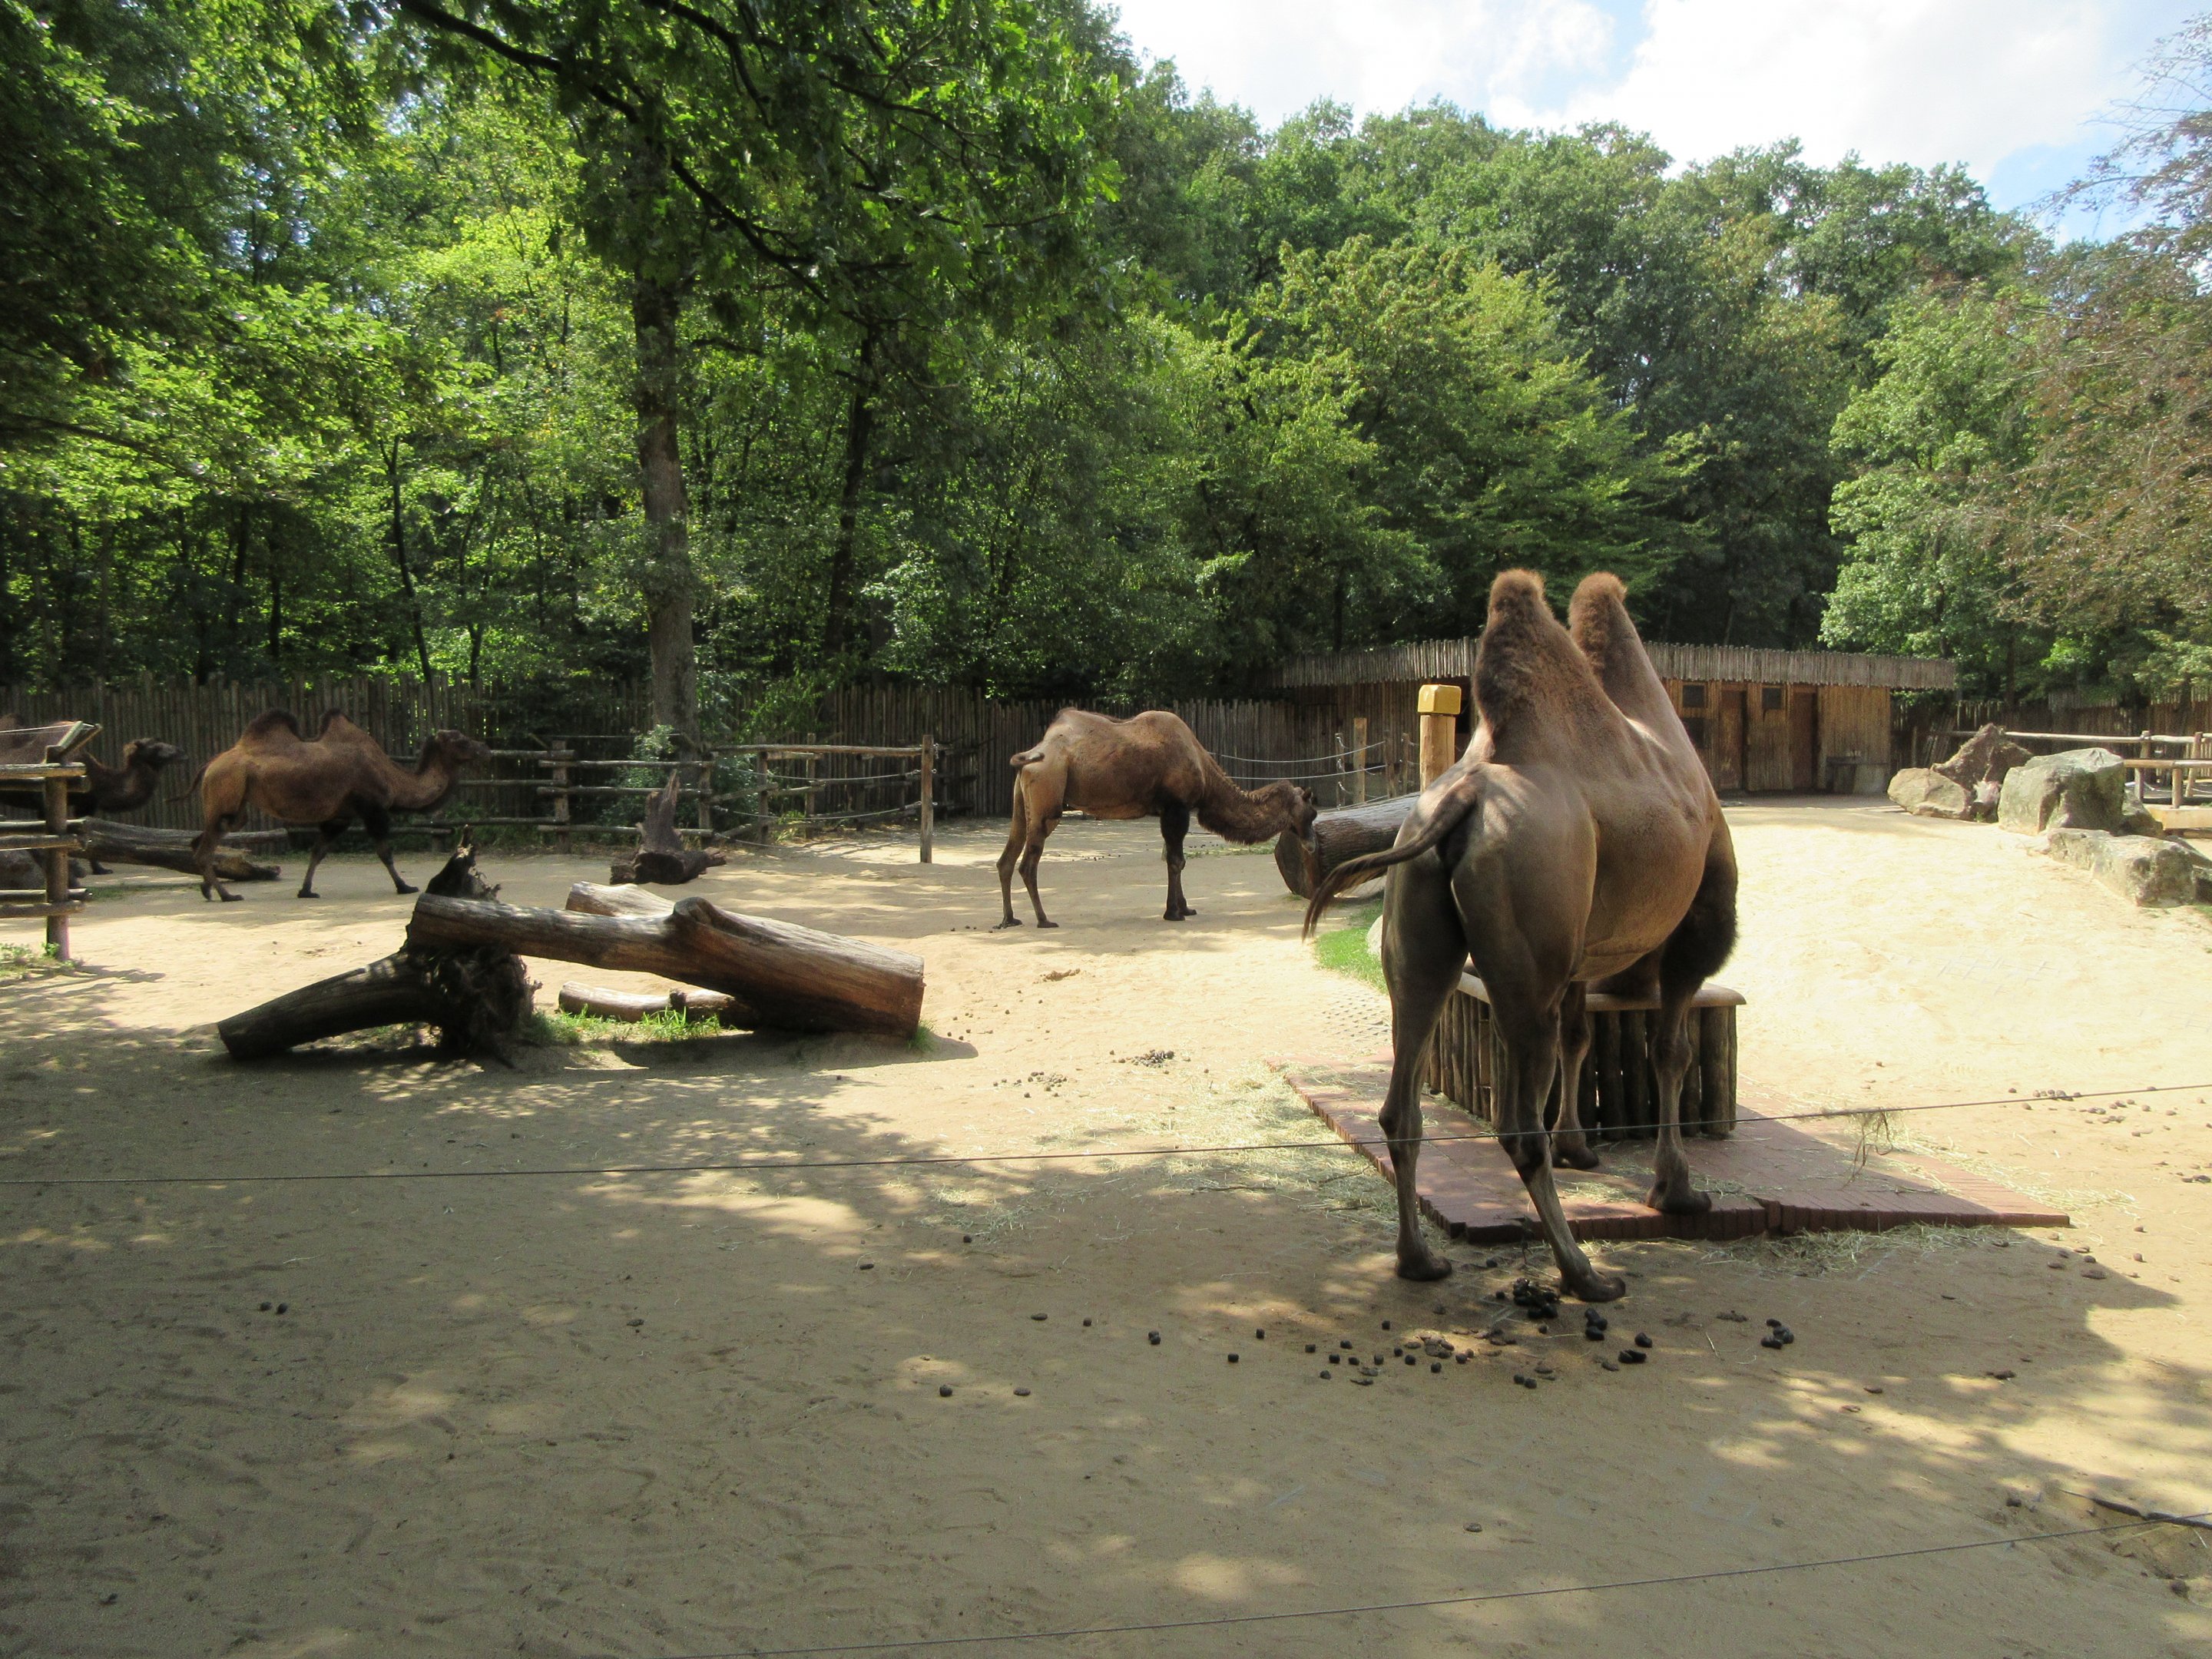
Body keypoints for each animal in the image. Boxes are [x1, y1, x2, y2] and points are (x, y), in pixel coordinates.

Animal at [191, 710, 489, 901]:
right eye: (461, 740)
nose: (485, 748)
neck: (392, 777)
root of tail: (208, 766)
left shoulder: (340, 817)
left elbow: (318, 851)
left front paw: (306, 890)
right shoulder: (372, 809)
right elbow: (385, 852)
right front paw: (405, 886)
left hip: (234, 806)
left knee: (204, 841)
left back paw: (209, 890)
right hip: (226, 791)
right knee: (205, 848)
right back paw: (227, 895)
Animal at [997, 710, 1318, 928]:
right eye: (1312, 813)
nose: (1313, 844)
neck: (1204, 770)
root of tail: (1034, 754)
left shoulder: (1170, 810)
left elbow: (1174, 859)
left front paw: (1185, 908)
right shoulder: (1176, 807)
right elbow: (1176, 860)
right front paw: (1174, 913)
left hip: (1022, 801)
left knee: (1006, 859)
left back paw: (1010, 919)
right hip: (1047, 798)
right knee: (1028, 863)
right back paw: (1044, 920)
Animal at [1305, 571, 1737, 1303]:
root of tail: (1459, 802)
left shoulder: (1581, 951)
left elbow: (1581, 1035)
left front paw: (1582, 1147)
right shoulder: (1693, 931)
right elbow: (1669, 1051)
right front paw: (1676, 1190)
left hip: (1420, 928)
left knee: (1402, 1103)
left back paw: (1418, 1259)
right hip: (1527, 942)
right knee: (1516, 1122)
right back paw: (1583, 1273)